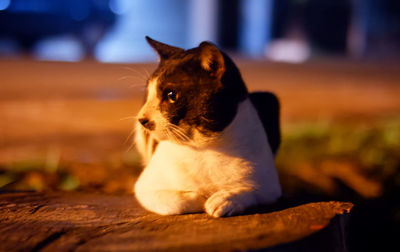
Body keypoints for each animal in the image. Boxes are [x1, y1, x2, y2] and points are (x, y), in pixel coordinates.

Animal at [134, 37, 282, 217]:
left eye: (171, 95)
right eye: (148, 94)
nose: (141, 119)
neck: (205, 148)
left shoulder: (270, 187)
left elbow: (250, 191)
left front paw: (224, 199)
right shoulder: (145, 187)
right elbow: (176, 202)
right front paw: (200, 197)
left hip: (269, 98)